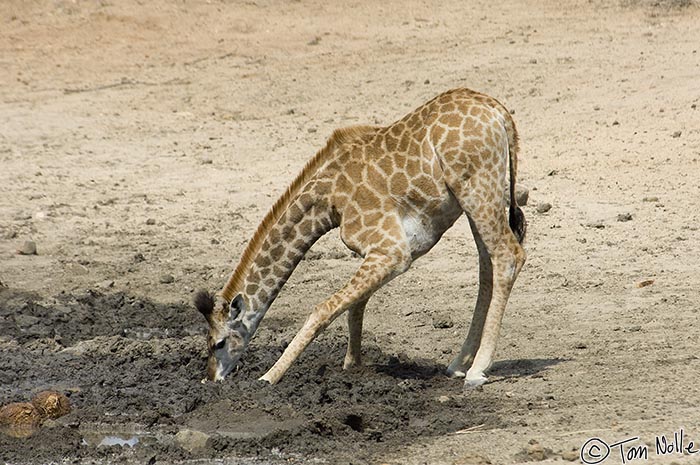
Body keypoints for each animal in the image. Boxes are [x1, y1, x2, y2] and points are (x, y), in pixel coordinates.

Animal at [196, 87, 524, 388]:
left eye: (217, 343)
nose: (211, 379)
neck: (328, 202)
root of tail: (500, 113)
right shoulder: (398, 248)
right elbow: (356, 304)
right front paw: (352, 365)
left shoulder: (391, 250)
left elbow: (324, 308)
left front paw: (269, 377)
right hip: (478, 196)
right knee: (488, 266)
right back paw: (458, 364)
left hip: (477, 188)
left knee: (509, 255)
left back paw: (477, 370)